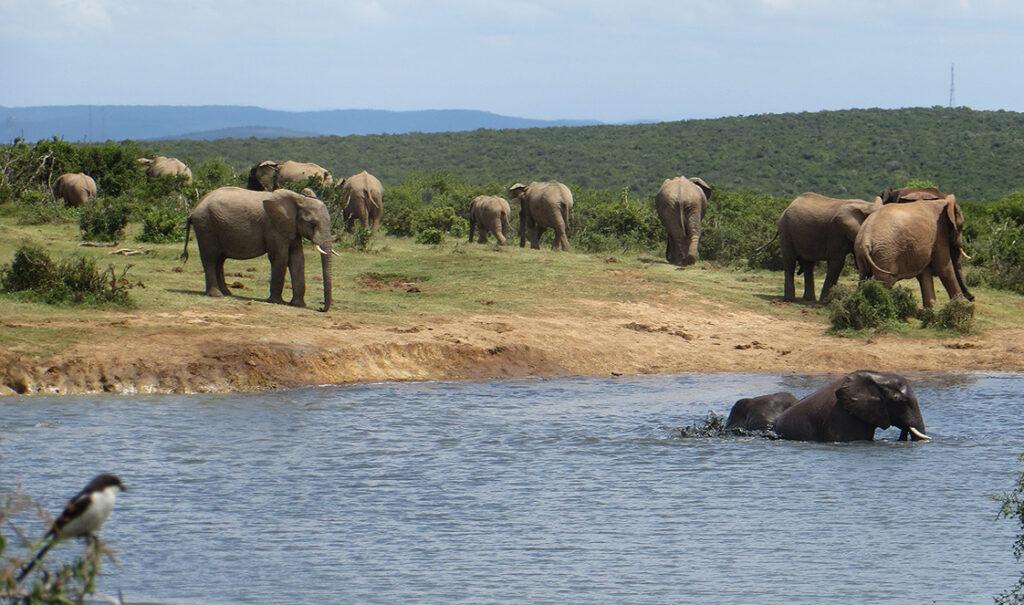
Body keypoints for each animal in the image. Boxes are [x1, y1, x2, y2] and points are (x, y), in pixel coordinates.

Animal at [182, 187, 338, 312]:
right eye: (312, 224)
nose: (320, 308)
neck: (298, 199)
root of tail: (194, 208)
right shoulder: (273, 227)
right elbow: (280, 257)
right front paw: (277, 302)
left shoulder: (292, 228)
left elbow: (297, 259)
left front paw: (298, 305)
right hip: (206, 226)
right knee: (211, 258)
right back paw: (217, 295)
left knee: (220, 260)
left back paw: (227, 293)